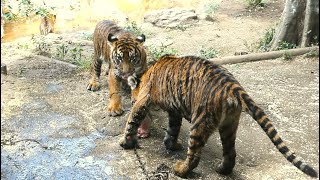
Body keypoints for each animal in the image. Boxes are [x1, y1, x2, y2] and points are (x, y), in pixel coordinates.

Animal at [119, 54, 318, 177]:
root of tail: (232, 85)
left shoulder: (143, 100)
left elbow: (132, 120)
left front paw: (125, 142)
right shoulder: (175, 112)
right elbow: (173, 129)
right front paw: (172, 144)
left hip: (200, 121)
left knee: (194, 156)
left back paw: (181, 170)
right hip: (229, 124)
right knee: (230, 153)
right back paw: (222, 170)